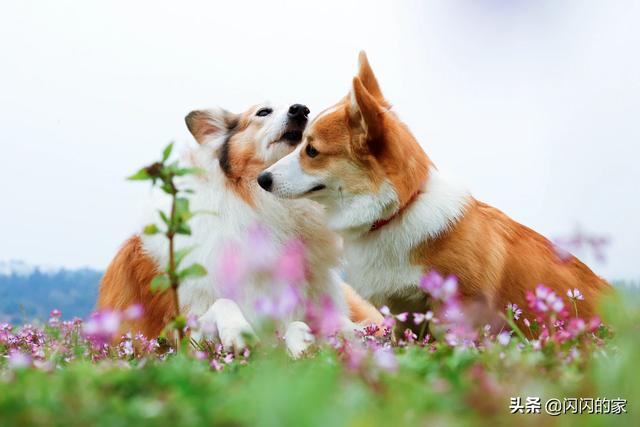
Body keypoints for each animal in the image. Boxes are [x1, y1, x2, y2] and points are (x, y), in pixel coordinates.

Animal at [97, 102, 382, 356]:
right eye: (263, 112)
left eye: (309, 115)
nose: (301, 109)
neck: (265, 203)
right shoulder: (182, 330)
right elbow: (223, 304)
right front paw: (239, 333)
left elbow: (302, 324)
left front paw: (306, 344)